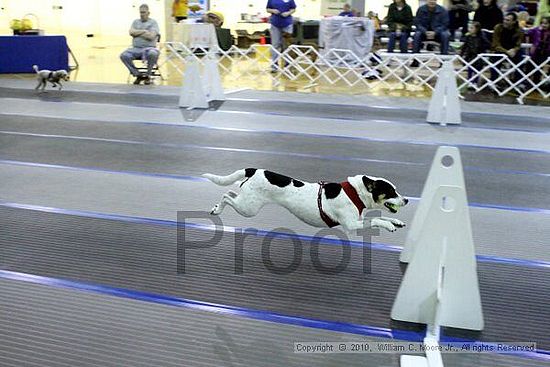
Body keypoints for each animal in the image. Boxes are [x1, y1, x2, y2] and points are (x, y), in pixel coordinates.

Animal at [204, 170, 410, 233]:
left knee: (231, 192)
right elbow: (376, 219)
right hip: (249, 208)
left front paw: (396, 222)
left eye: (396, 190)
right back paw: (217, 209)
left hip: (247, 202)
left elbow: (383, 217)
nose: (407, 200)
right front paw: (389, 226)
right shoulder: (351, 225)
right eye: (391, 192)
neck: (356, 192)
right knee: (226, 196)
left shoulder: (357, 220)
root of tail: (253, 170)